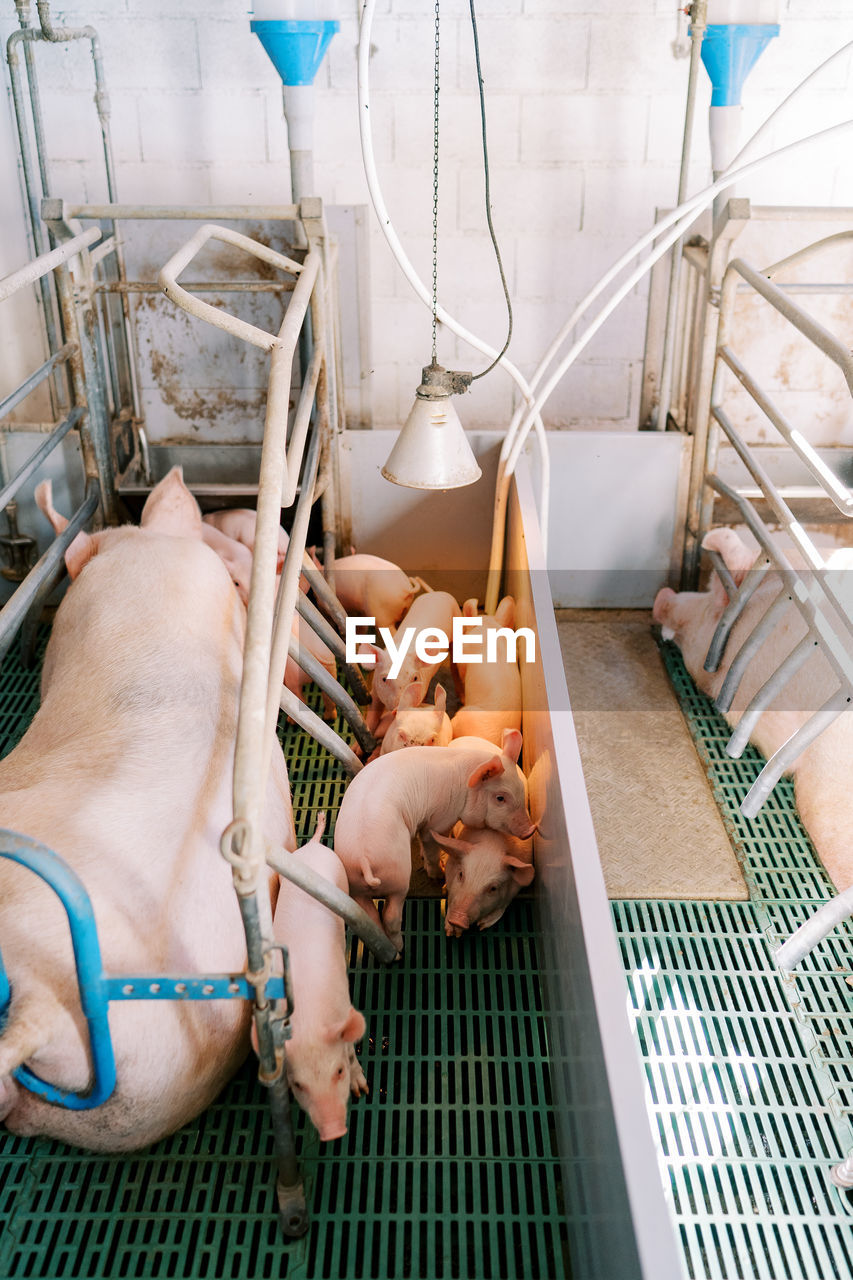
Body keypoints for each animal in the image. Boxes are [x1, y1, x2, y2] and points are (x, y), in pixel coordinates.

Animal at [258, 814, 366, 1136]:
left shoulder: (344, 1008)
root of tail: (315, 847)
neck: (308, 1017)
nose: (333, 1131)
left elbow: (350, 1048)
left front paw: (362, 1089)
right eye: (298, 1085)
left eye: (338, 1071)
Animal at [333, 737, 532, 957]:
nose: (530, 830)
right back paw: (399, 953)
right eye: (500, 798)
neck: (464, 784)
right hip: (398, 875)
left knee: (370, 915)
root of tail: (364, 859)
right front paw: (440, 875)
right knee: (391, 915)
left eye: (522, 792)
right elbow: (432, 843)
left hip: (355, 885)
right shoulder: (440, 818)